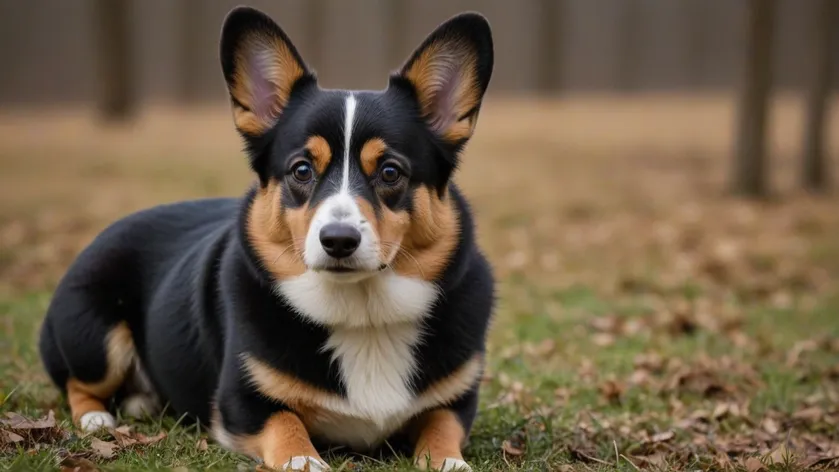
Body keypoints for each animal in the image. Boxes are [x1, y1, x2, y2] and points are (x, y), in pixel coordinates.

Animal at [39, 7, 496, 472]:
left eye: (390, 172)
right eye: (301, 169)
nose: (338, 240)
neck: (362, 314)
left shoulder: (456, 400)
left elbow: (441, 426)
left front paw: (451, 462)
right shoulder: (243, 402)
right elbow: (285, 423)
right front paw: (304, 460)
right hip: (97, 340)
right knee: (78, 383)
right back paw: (98, 418)